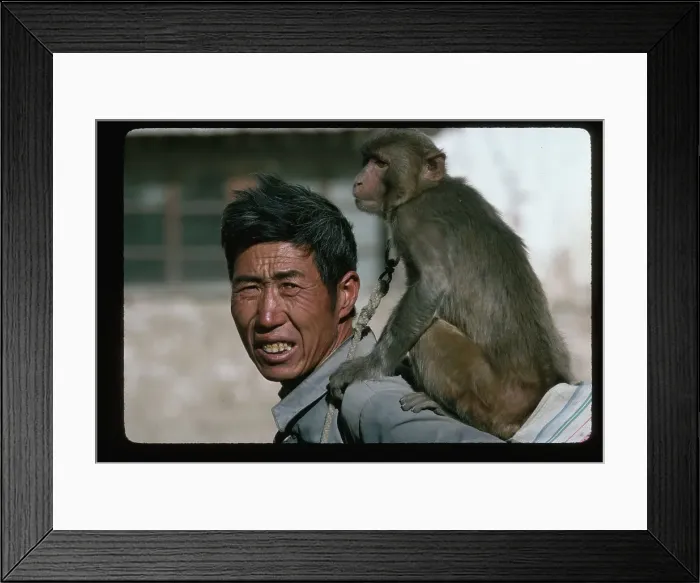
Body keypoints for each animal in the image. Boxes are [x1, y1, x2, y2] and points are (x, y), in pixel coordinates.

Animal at [326, 128, 573, 441]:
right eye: (367, 160)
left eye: (381, 163)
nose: (358, 180)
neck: (424, 190)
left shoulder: (412, 219)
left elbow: (430, 287)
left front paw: (370, 367)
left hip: (492, 396)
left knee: (431, 333)